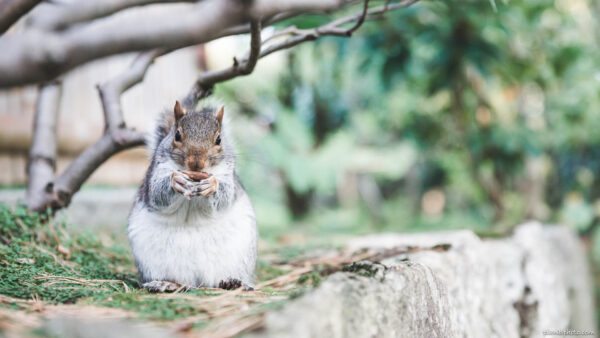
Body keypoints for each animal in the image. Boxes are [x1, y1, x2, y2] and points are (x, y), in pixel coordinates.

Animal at [127, 99, 256, 292]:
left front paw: (212, 185)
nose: (196, 163)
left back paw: (234, 283)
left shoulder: (228, 175)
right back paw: (166, 283)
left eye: (219, 139)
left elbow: (225, 196)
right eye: (177, 135)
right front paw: (176, 180)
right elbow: (157, 194)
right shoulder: (156, 172)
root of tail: (198, 282)